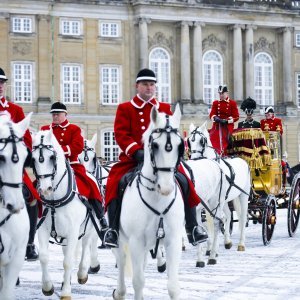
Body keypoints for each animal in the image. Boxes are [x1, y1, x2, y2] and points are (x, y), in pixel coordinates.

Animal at [32, 130, 99, 298]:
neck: (55, 200)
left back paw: (82, 273)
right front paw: (47, 287)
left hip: (88, 228)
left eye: (52, 157)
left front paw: (66, 292)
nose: (45, 189)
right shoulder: (43, 229)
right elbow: (44, 257)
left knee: (85, 246)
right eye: (33, 159)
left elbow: (68, 261)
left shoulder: (73, 230)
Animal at [113, 104, 185, 298]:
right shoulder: (136, 241)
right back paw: (120, 292)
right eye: (155, 145)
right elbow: (138, 281)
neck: (158, 199)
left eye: (180, 145)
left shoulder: (173, 240)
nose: (166, 187)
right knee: (122, 262)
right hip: (122, 240)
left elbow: (173, 286)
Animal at [188, 122, 251, 264]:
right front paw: (209, 249)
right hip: (226, 200)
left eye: (202, 141)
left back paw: (241, 244)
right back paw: (227, 241)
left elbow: (214, 222)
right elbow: (209, 222)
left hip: (242, 196)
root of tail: (242, 160)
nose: (194, 159)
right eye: (189, 141)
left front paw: (212, 252)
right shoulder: (205, 203)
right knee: (227, 216)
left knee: (242, 217)